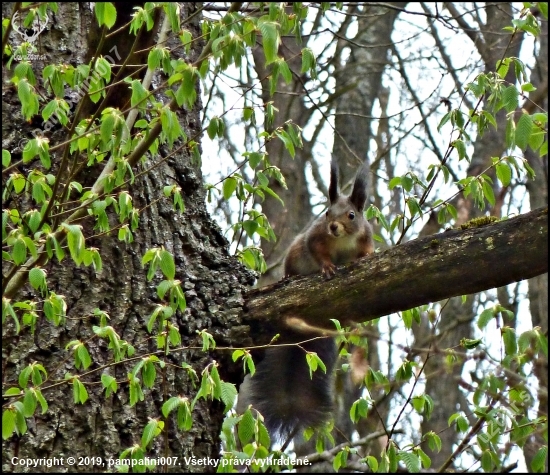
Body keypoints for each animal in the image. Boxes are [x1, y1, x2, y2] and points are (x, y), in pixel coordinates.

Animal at [238, 160, 376, 442]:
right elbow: (319, 253)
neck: (342, 240)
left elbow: (367, 249)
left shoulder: (365, 236)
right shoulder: (315, 238)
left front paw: (367, 256)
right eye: (326, 213)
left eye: (351, 215)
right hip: (294, 254)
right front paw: (327, 268)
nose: (333, 227)